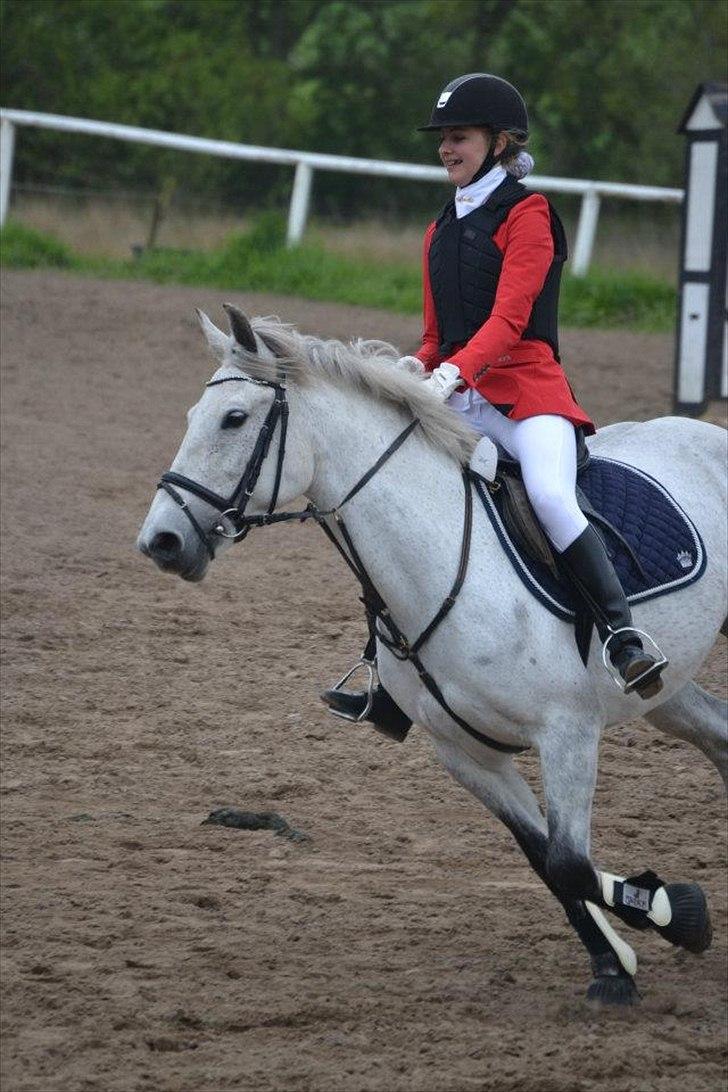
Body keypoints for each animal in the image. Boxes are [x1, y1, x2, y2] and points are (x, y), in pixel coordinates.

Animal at [137, 304, 728, 1005]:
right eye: (192, 417)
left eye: (233, 419)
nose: (161, 542)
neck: (442, 555)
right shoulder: (465, 753)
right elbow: (550, 864)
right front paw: (622, 957)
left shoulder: (568, 734)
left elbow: (570, 863)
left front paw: (674, 913)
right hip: (668, 693)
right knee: (718, 736)